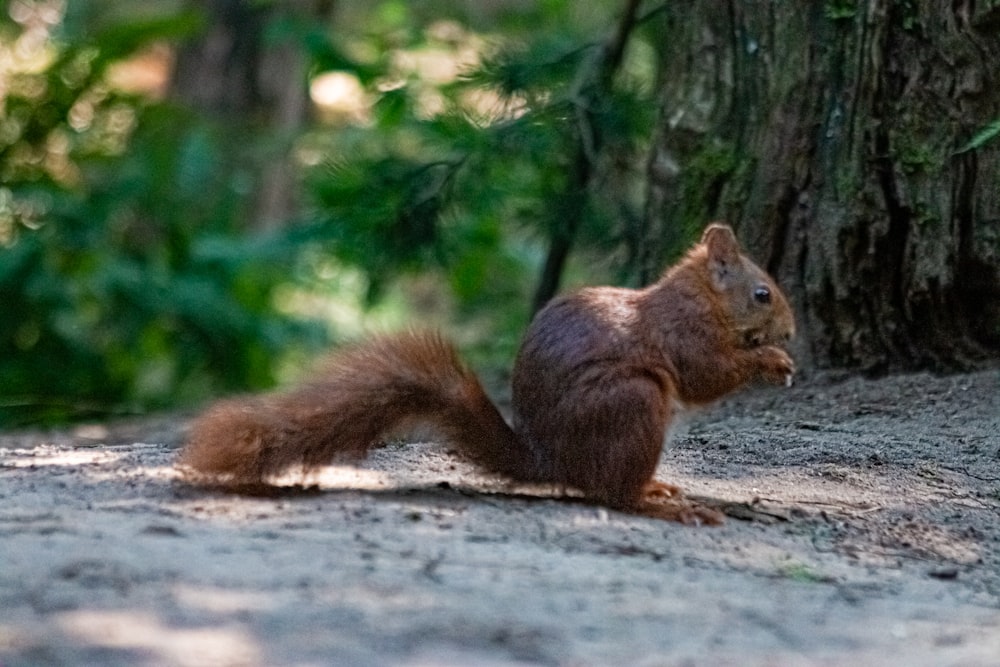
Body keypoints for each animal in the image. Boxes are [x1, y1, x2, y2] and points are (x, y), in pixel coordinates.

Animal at [176, 224, 792, 528]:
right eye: (763, 294)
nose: (789, 331)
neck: (702, 298)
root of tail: (552, 462)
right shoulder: (681, 336)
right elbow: (706, 375)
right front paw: (769, 362)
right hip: (634, 402)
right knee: (612, 494)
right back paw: (662, 504)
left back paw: (658, 488)